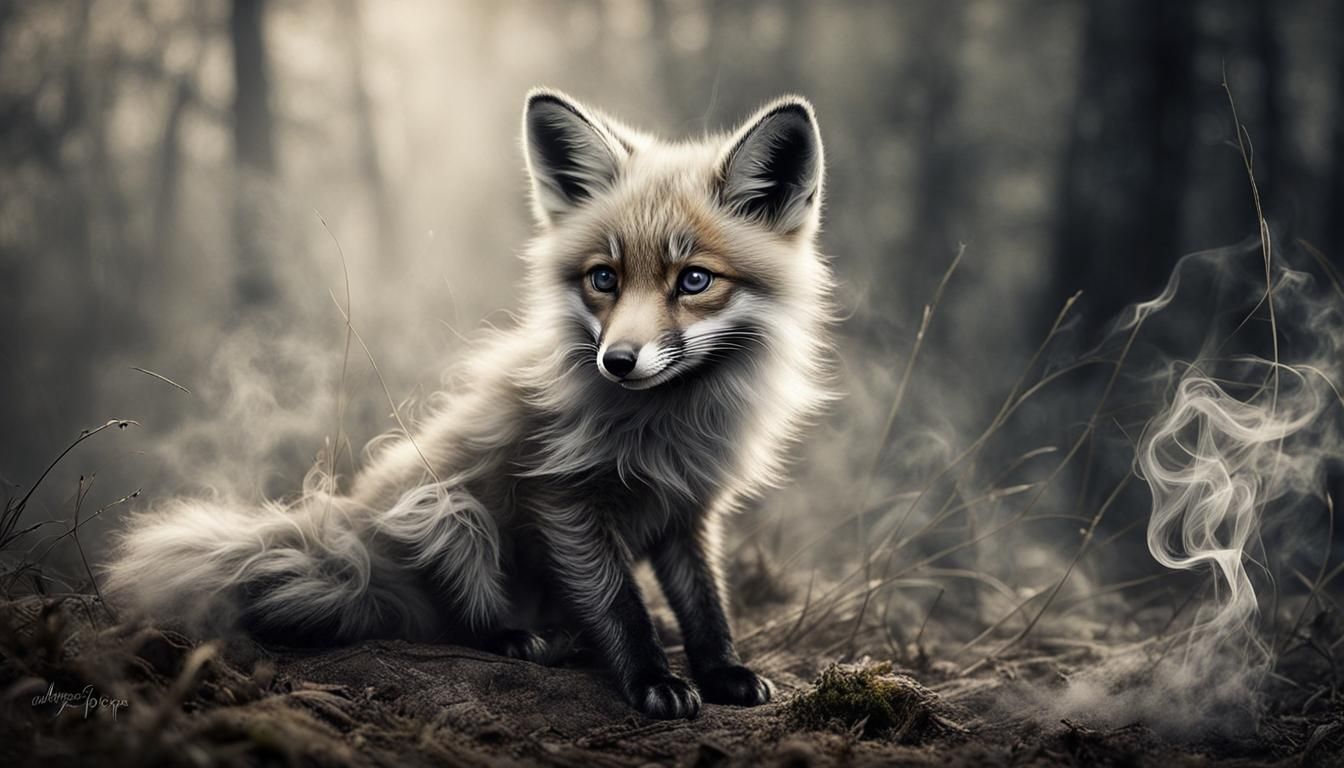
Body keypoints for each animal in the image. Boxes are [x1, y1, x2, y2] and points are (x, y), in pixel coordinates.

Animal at [106, 88, 833, 720]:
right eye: (604, 278)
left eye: (694, 280)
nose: (618, 361)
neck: (667, 427)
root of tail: (344, 544)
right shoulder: (566, 501)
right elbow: (620, 605)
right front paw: (653, 680)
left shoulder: (688, 511)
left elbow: (707, 606)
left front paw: (722, 672)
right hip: (446, 512)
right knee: (447, 621)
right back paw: (524, 640)